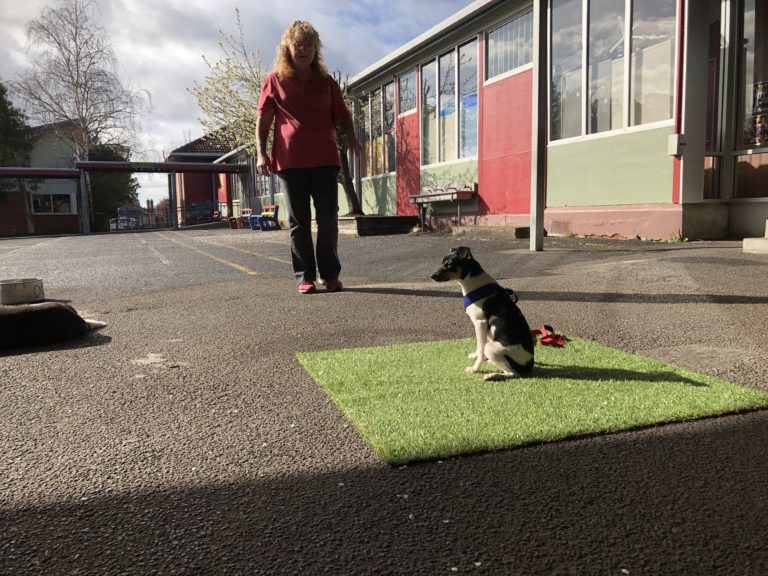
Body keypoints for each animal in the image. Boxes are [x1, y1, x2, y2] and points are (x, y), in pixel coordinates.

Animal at [432, 246, 536, 378]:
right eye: (441, 263)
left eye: (449, 265)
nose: (432, 276)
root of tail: (529, 366)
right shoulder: (482, 327)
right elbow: (479, 345)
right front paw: (475, 356)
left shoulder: (480, 322)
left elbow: (481, 348)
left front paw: (475, 368)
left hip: (492, 348)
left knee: (513, 373)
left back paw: (492, 376)